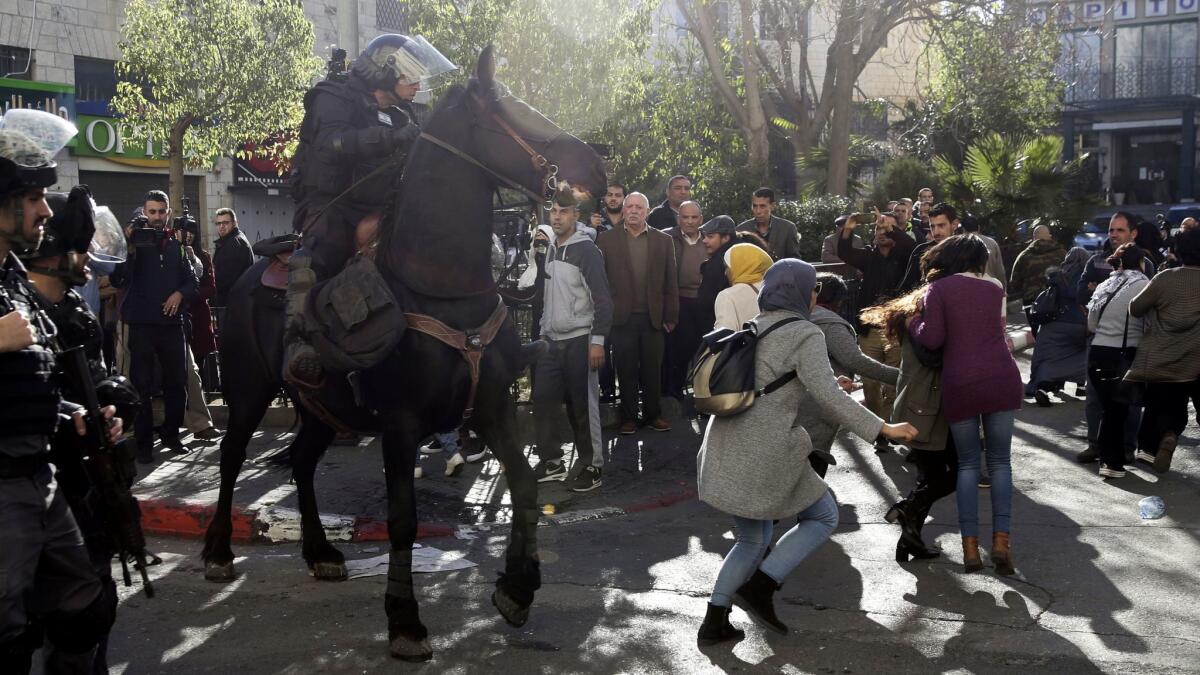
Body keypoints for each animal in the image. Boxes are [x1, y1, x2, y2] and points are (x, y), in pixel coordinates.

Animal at [202, 49, 609, 658]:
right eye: (511, 108)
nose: (597, 168)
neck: (443, 286)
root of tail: (246, 274)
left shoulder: (491, 406)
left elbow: (525, 484)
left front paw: (517, 588)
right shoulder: (400, 422)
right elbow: (402, 520)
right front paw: (404, 619)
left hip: (321, 409)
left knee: (301, 461)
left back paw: (319, 552)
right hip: (249, 390)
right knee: (231, 457)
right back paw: (218, 551)